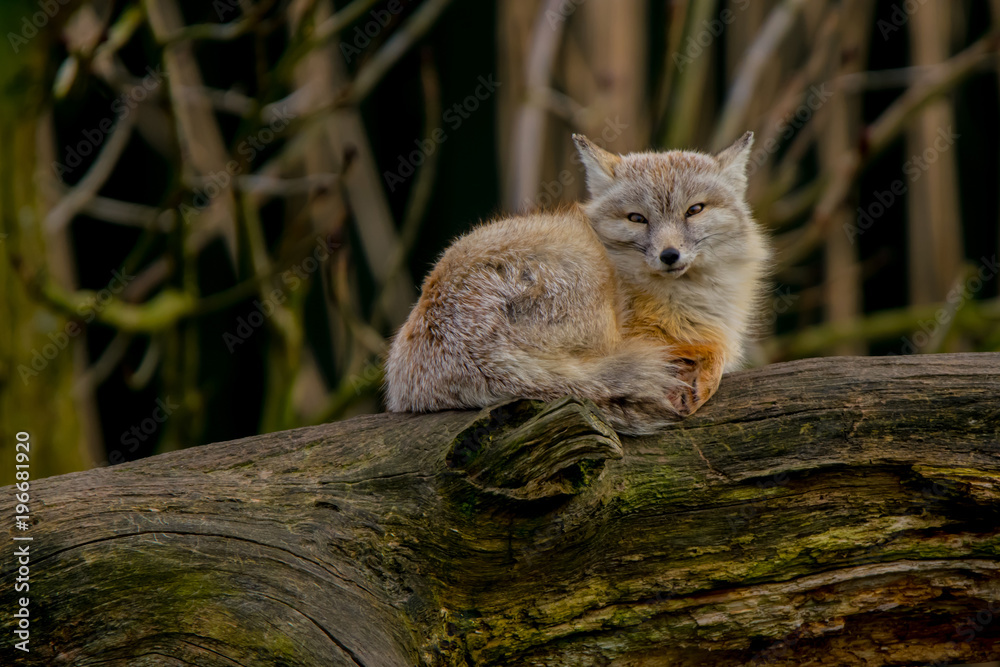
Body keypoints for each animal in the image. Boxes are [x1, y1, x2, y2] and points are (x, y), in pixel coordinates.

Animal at [384, 132, 770, 435]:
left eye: (694, 210)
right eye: (637, 218)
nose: (669, 255)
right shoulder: (642, 334)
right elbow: (714, 348)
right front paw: (704, 370)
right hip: (590, 284)